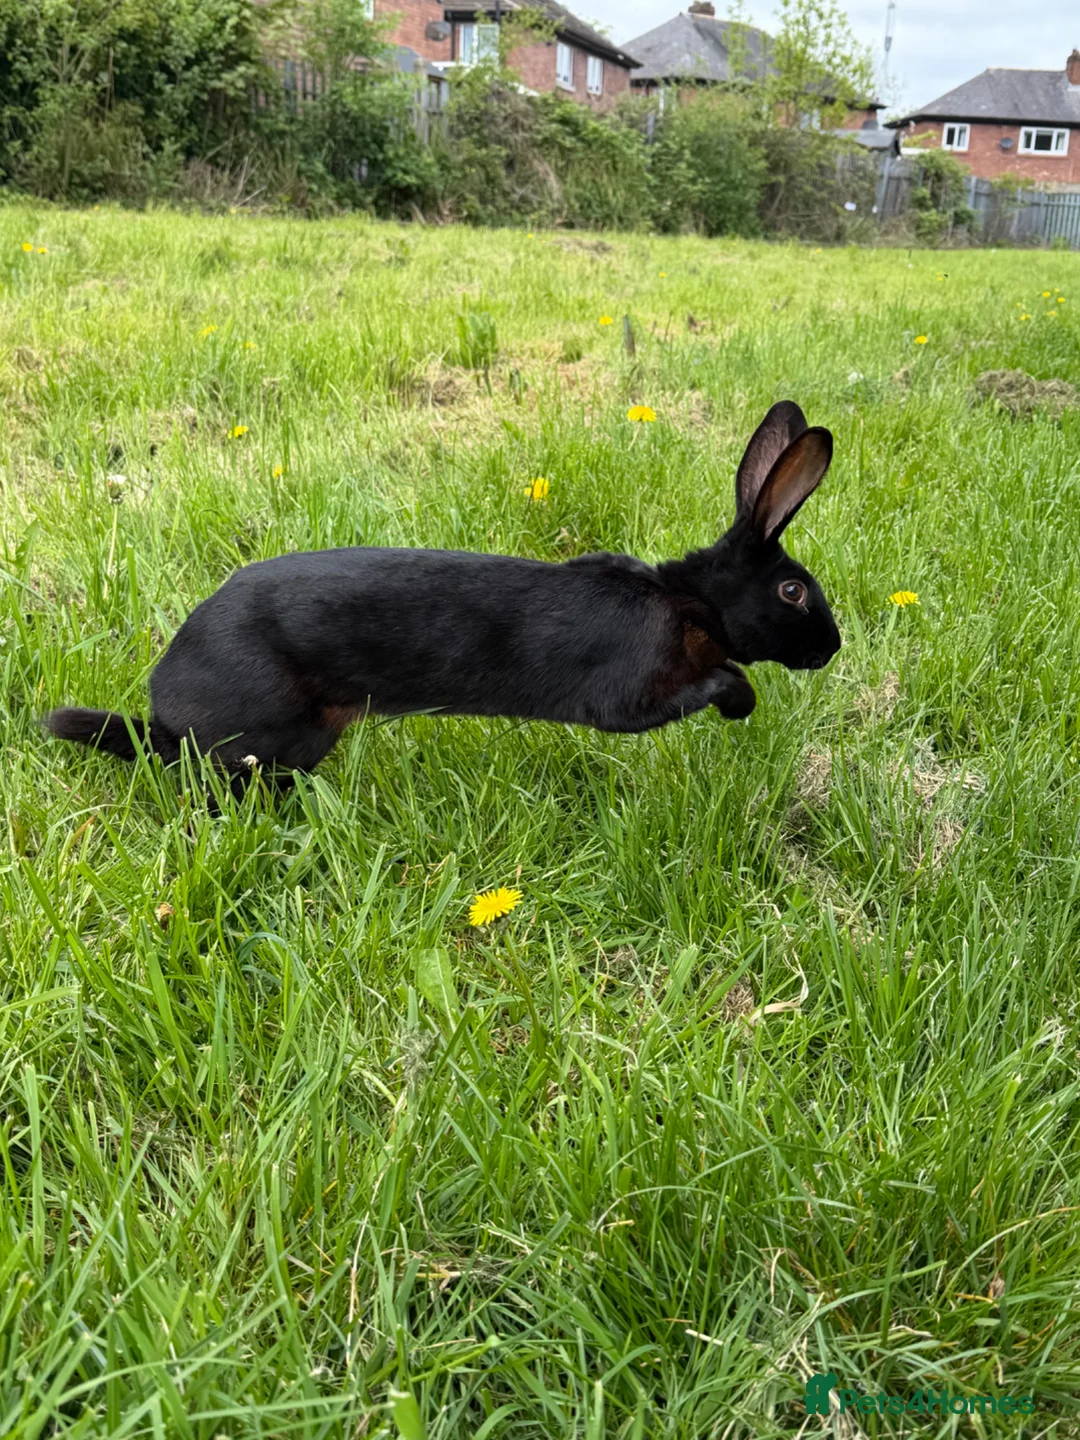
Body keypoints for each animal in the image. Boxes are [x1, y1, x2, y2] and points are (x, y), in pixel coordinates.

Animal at [44, 400, 840, 787]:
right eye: (793, 591)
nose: (832, 650)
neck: (689, 603)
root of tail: (162, 706)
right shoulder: (629, 697)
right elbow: (713, 683)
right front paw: (741, 702)